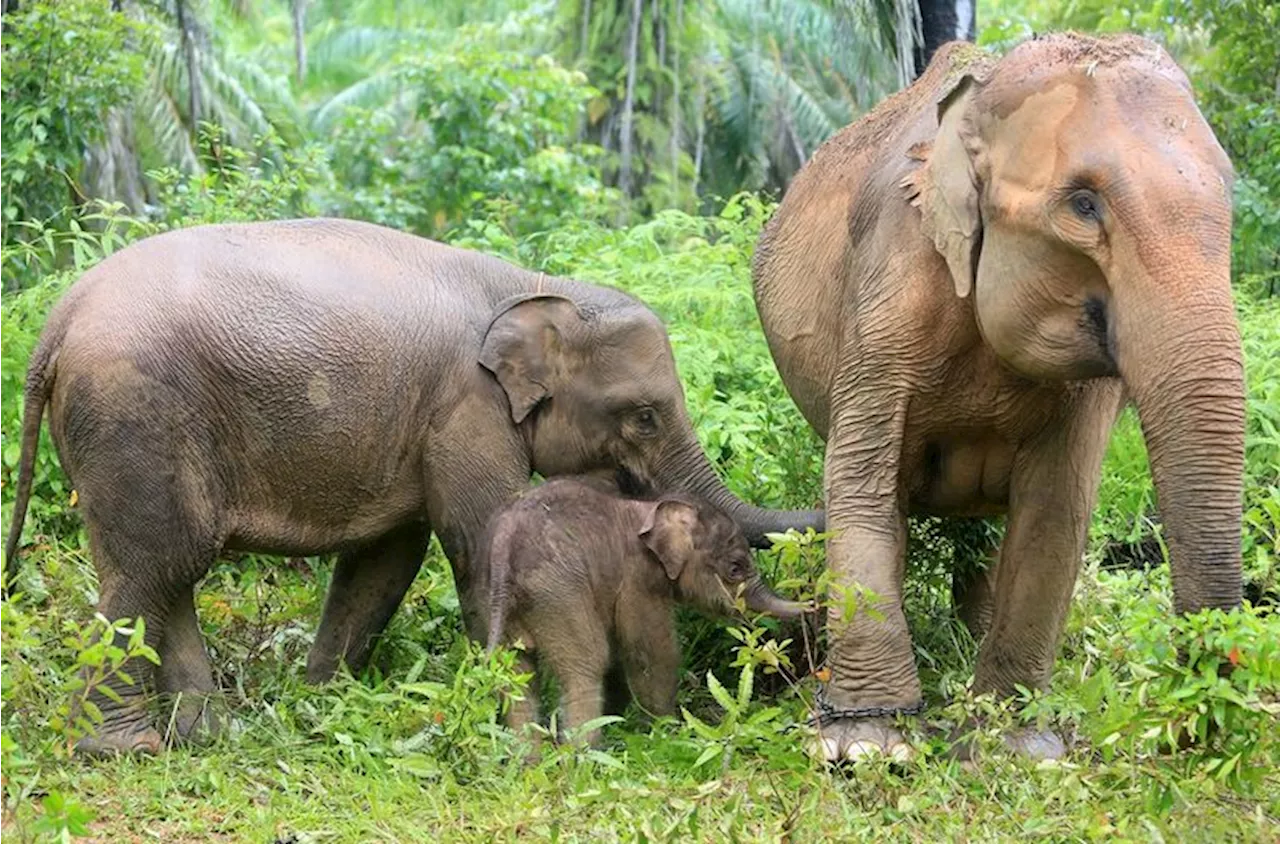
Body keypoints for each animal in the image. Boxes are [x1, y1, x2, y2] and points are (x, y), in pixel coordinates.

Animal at [476, 476, 814, 747]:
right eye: (735, 568)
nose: (813, 606)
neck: (648, 508)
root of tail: (506, 549)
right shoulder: (638, 581)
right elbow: (652, 653)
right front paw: (667, 733)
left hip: (493, 597)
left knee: (515, 673)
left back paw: (528, 762)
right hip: (558, 593)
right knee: (586, 663)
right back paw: (582, 759)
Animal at [752, 32, 1244, 763]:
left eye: (1229, 194)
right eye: (1084, 205)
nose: (1187, 728)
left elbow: (1055, 509)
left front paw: (1013, 745)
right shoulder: (889, 279)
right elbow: (859, 481)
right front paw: (868, 747)